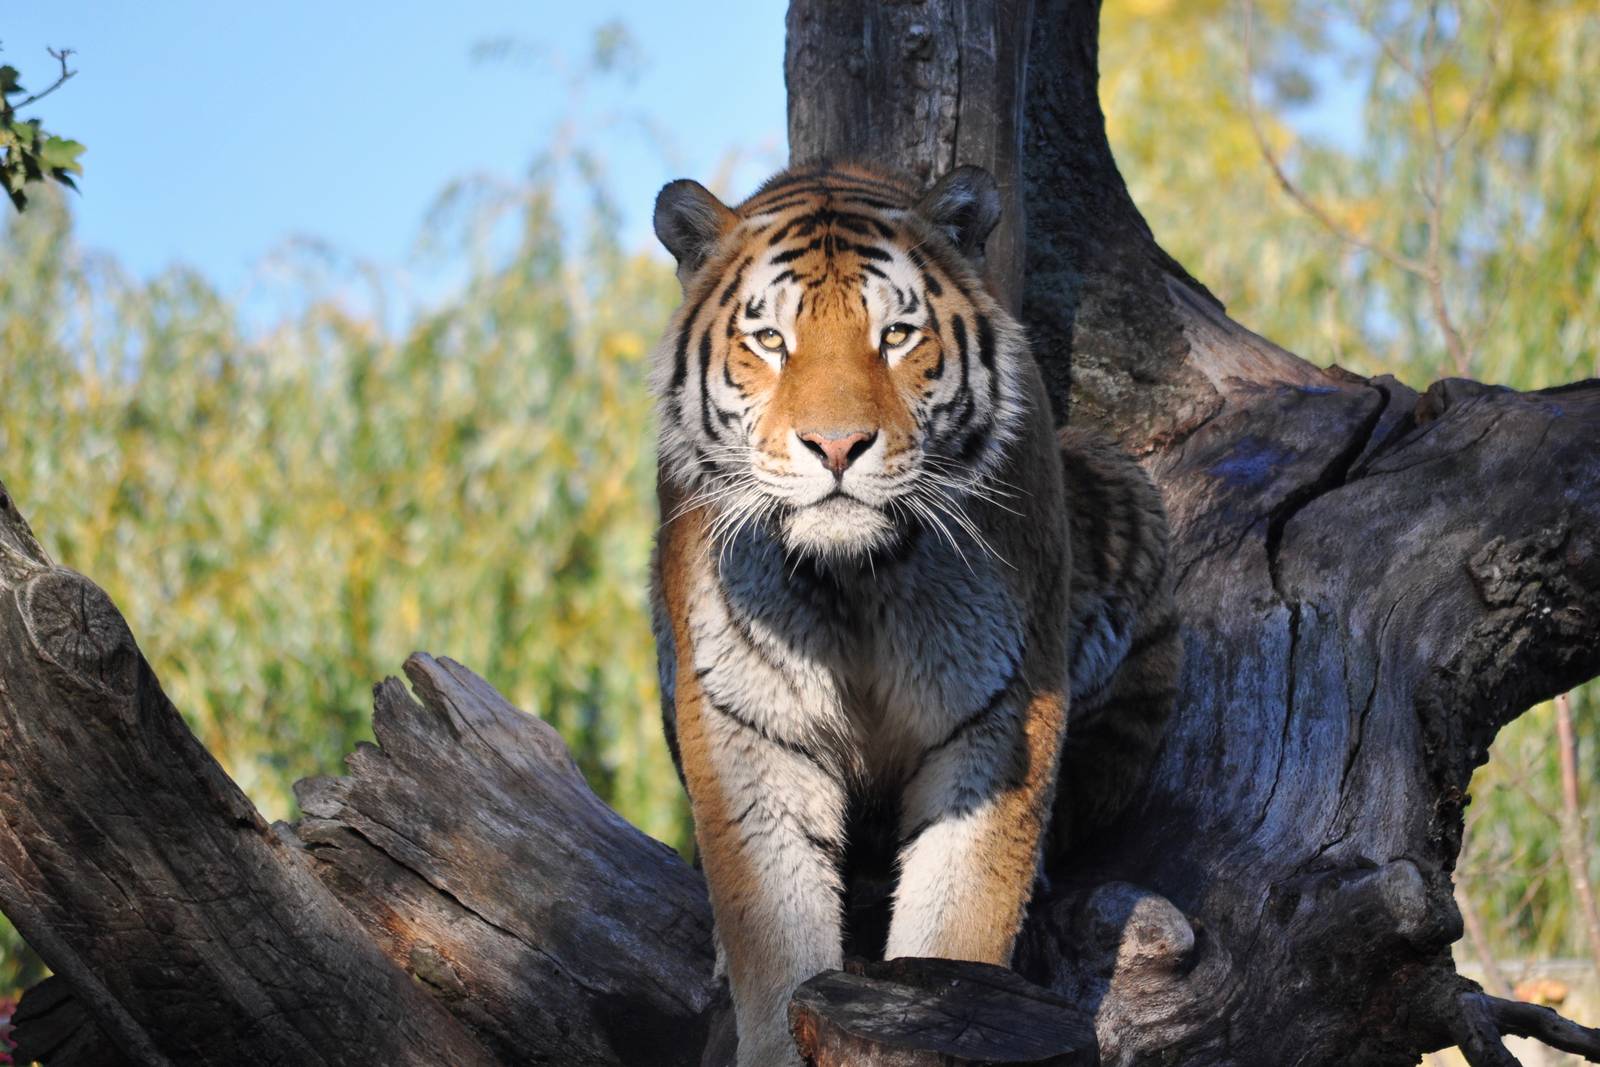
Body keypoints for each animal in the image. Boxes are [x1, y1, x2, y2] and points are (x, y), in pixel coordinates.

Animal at [648, 161, 1179, 1067]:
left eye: (896, 336)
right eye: (771, 342)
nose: (835, 446)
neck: (855, 576)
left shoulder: (999, 711)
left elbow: (960, 912)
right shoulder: (747, 720)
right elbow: (774, 937)